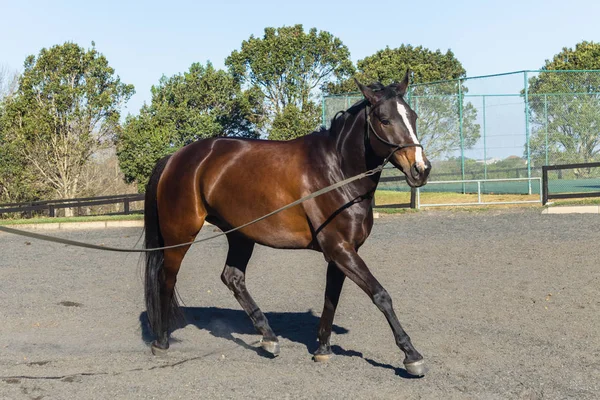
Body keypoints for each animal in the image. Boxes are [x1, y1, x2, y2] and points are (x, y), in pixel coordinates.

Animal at [144, 71, 432, 376]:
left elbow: (331, 298)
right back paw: (161, 341)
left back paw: (269, 338)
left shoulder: (342, 252)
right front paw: (411, 354)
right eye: (385, 119)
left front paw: (322, 349)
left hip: (240, 235)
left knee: (232, 278)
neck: (337, 172)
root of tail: (175, 157)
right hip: (180, 235)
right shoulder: (340, 249)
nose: (421, 169)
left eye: (412, 116)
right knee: (167, 278)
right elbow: (380, 295)